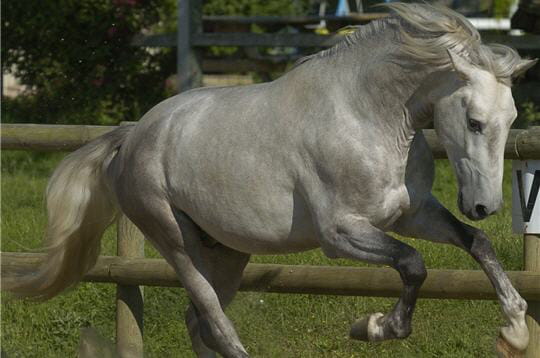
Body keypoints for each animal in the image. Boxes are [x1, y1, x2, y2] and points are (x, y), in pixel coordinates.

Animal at [3, 3, 536, 358]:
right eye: (474, 122)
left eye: (510, 119)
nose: (484, 205)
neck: (371, 118)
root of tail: (133, 135)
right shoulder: (340, 235)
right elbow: (413, 265)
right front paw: (374, 326)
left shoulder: (410, 212)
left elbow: (476, 243)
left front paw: (514, 330)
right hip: (175, 241)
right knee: (215, 322)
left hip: (227, 253)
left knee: (200, 322)